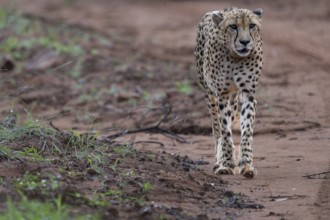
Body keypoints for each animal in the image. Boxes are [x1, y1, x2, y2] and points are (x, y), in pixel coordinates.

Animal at [196, 7, 262, 179]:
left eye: (252, 25)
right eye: (233, 26)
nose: (245, 42)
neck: (235, 57)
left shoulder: (247, 93)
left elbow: (247, 131)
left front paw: (247, 165)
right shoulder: (222, 94)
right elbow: (225, 131)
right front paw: (225, 164)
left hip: (233, 99)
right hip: (209, 94)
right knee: (217, 128)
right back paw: (219, 160)